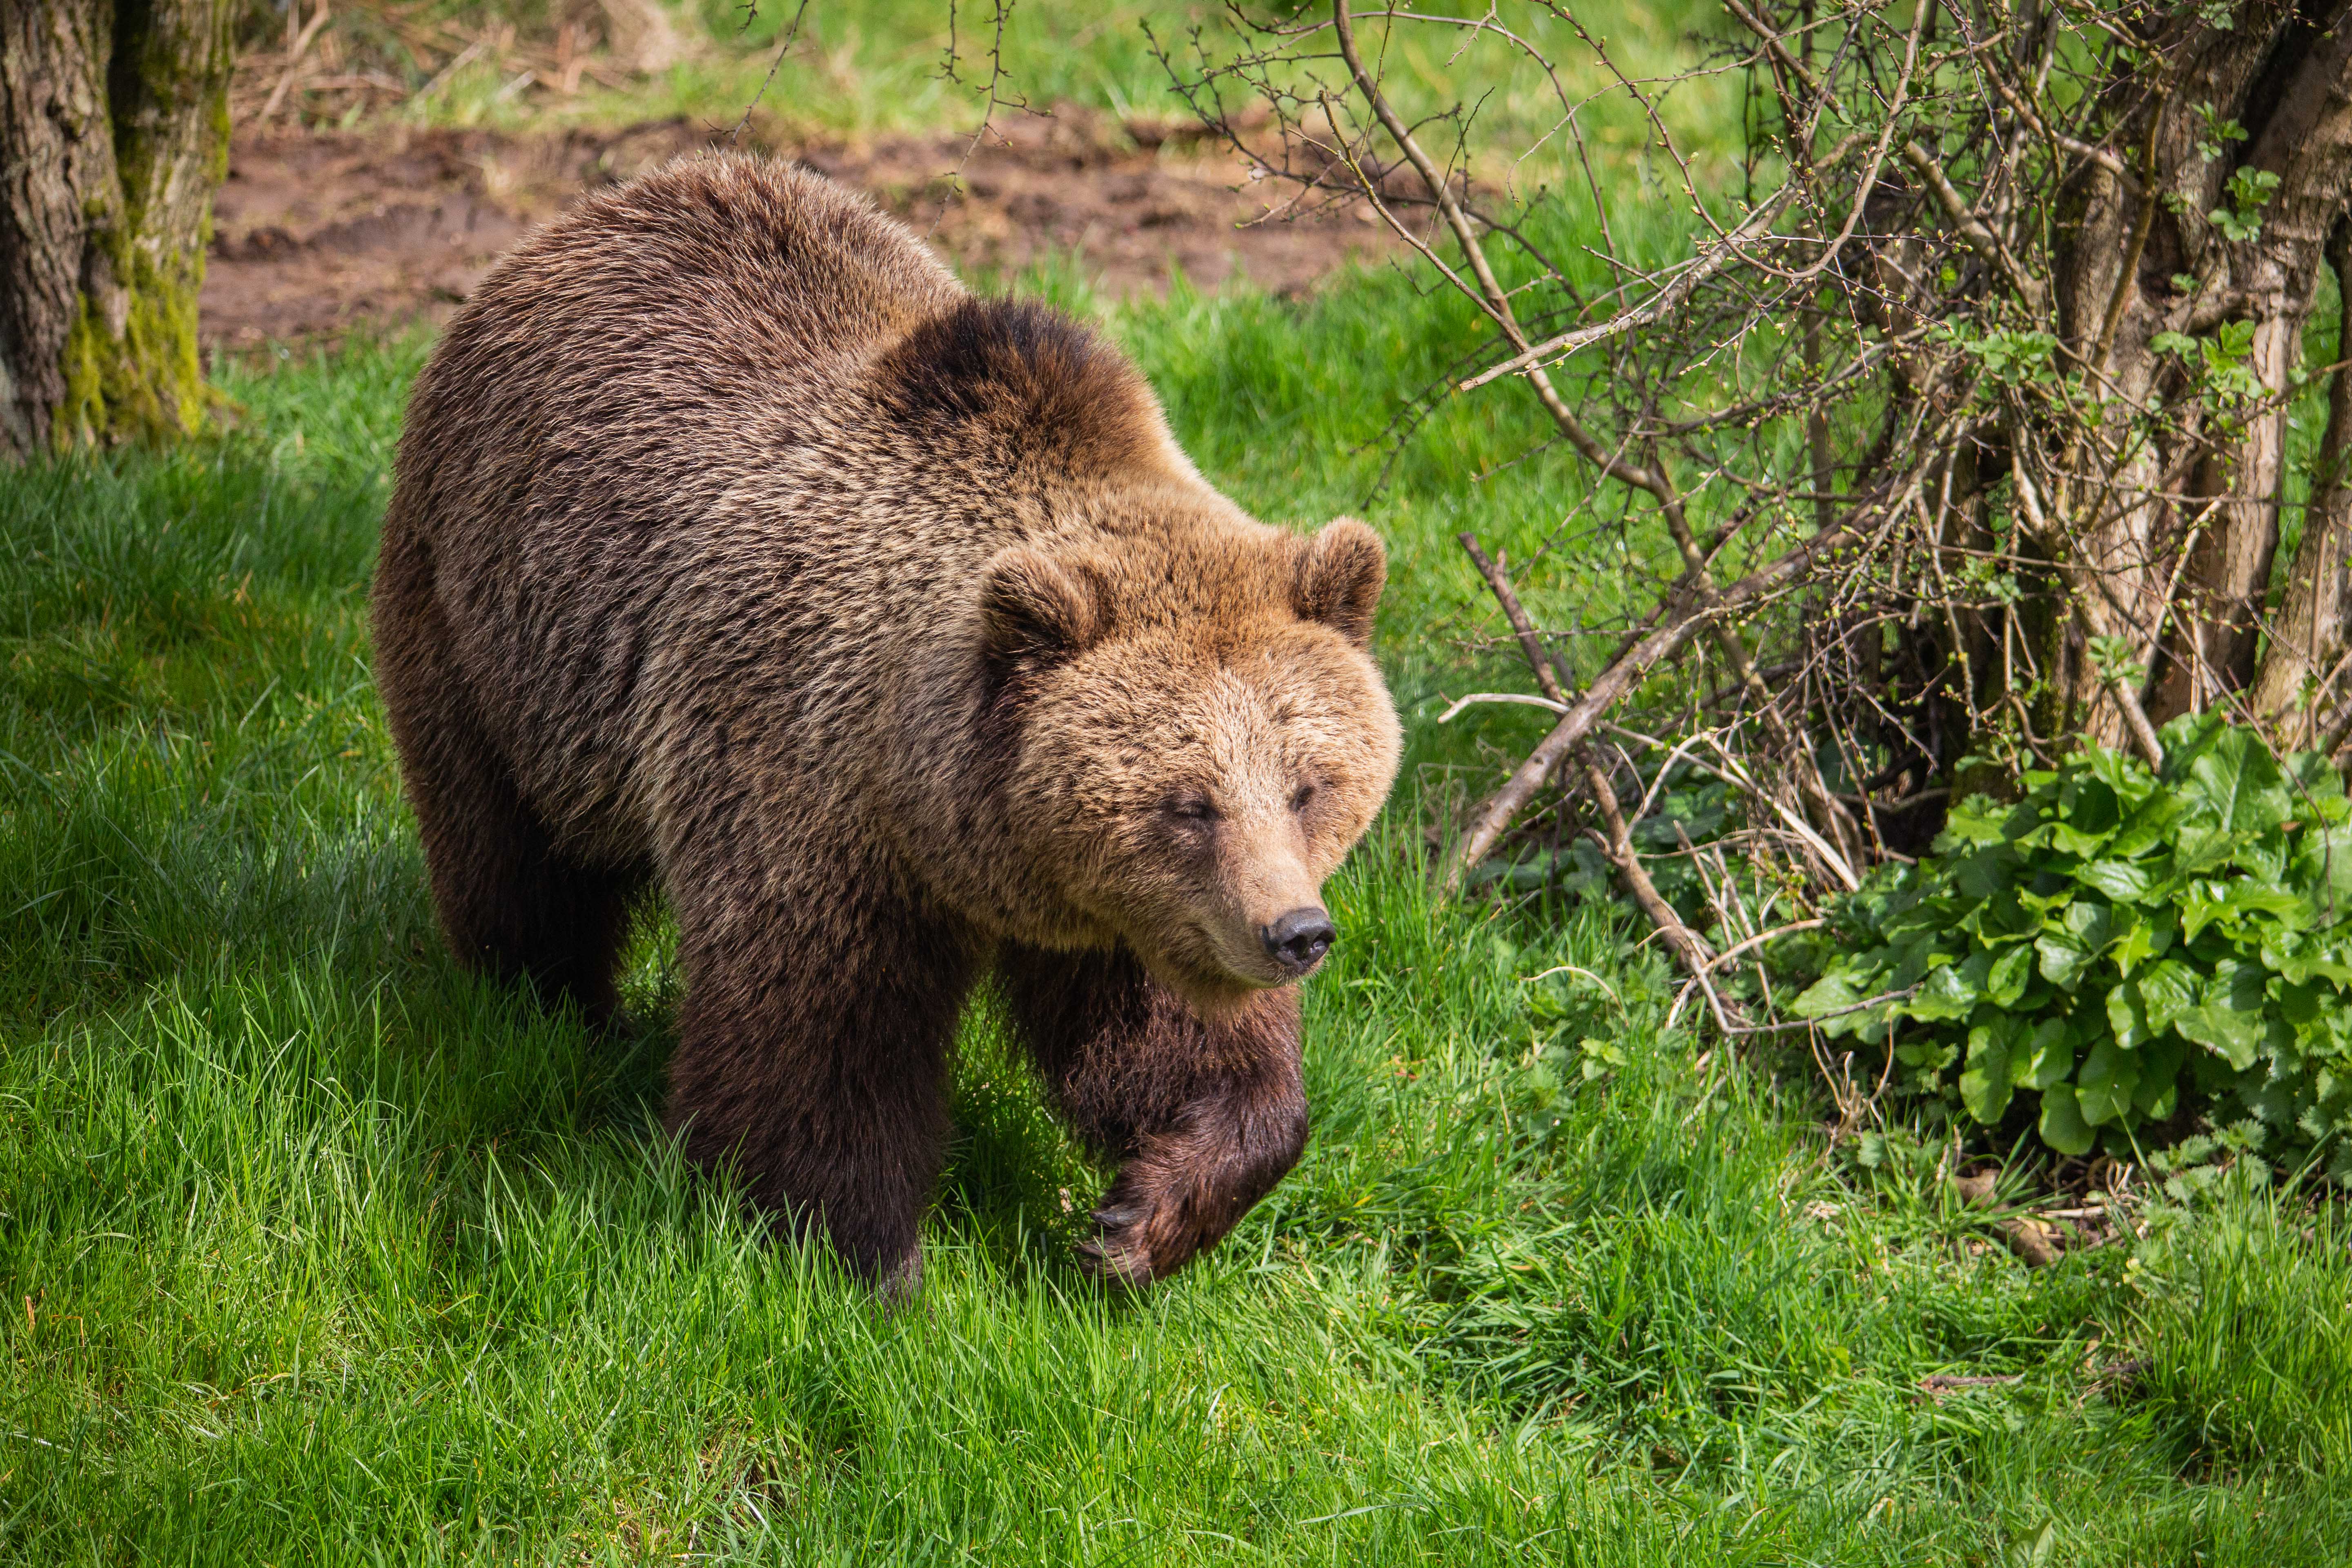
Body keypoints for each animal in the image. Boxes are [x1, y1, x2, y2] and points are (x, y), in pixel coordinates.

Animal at [367, 153, 1392, 1297]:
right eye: (1188, 802)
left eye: (1308, 785)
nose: (1296, 931)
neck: (935, 808)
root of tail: (589, 218)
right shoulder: (801, 781)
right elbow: (820, 1042)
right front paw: (866, 1259)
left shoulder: (1118, 906)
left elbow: (1169, 1034)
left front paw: (1141, 1215)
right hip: (493, 630)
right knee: (515, 858)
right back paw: (550, 1012)